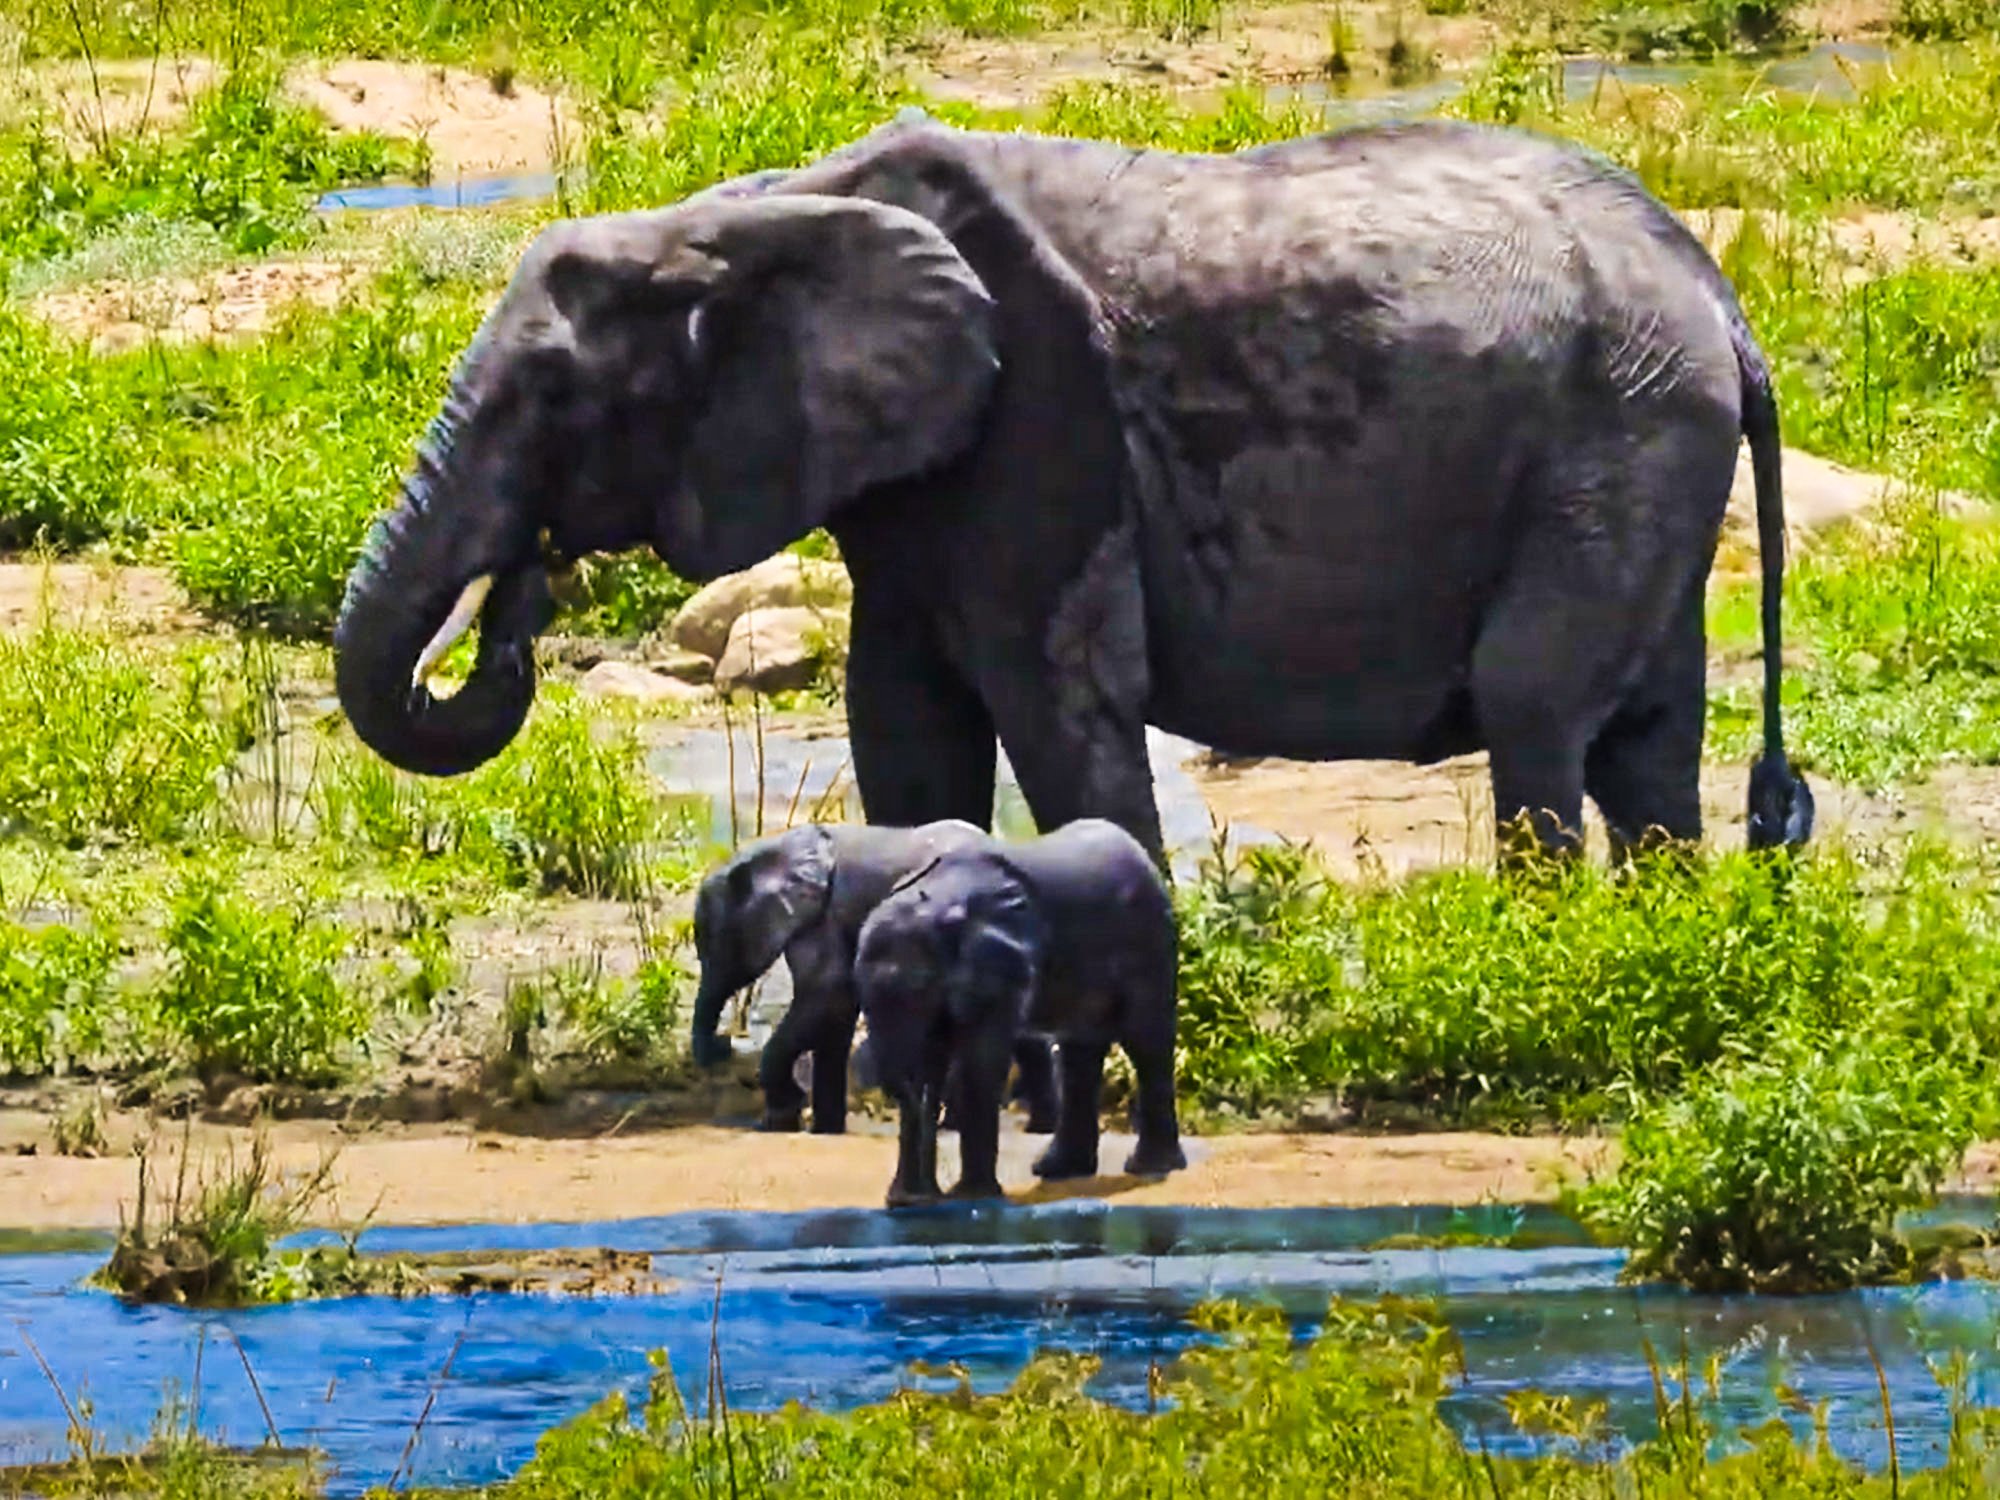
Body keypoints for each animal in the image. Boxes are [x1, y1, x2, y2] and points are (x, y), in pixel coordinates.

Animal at [330, 110, 1816, 871]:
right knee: (1646, 741)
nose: (517, 603)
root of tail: (1722, 305)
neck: (742, 212)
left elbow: (1055, 703)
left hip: (1618, 433)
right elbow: (905, 726)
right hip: (1646, 446)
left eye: (554, 398)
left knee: (1533, 705)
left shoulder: (1046, 418)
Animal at [687, 819, 1060, 1134]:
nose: (722, 1045)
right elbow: (835, 1011)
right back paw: (1036, 1126)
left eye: (717, 945)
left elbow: (828, 992)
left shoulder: (824, 913)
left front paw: (777, 1121)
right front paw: (825, 1131)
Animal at [852, 817, 1185, 1207]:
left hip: (1150, 942)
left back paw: (1149, 1167)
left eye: (919, 990)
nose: (913, 1200)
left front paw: (972, 1198)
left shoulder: (999, 965)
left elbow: (979, 1062)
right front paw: (915, 1200)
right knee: (1080, 1052)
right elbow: (933, 1061)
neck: (939, 901)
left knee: (1145, 1042)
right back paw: (1058, 1170)